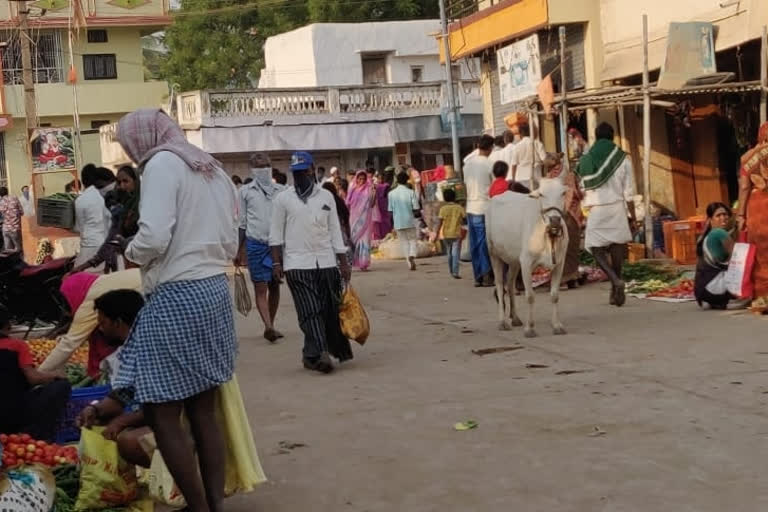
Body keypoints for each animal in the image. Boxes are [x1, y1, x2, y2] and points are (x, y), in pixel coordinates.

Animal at [486, 177, 568, 340]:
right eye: (541, 194)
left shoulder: (559, 263)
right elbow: (530, 296)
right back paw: (503, 322)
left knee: (510, 283)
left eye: (563, 193)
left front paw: (557, 325)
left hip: (514, 260)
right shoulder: (526, 263)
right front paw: (530, 329)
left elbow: (555, 295)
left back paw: (515, 318)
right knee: (499, 285)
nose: (555, 220)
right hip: (494, 254)